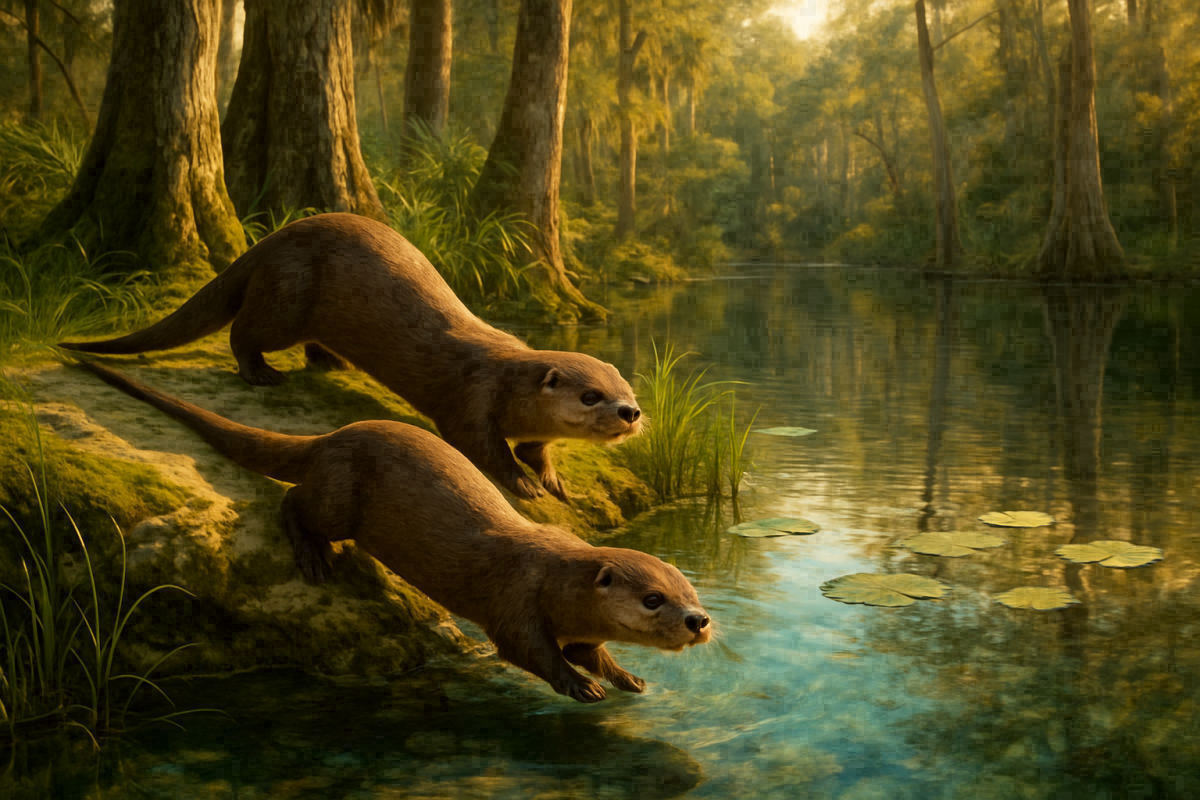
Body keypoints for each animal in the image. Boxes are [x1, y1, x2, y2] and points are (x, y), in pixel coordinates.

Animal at [60, 213, 641, 501]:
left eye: (627, 391)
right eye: (592, 396)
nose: (631, 414)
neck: (509, 379)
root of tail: (270, 241)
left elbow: (538, 448)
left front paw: (552, 479)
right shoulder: (472, 397)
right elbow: (481, 445)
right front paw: (521, 483)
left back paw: (329, 362)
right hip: (287, 296)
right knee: (244, 329)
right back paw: (259, 373)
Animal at [75, 361, 710, 702]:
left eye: (691, 592)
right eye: (654, 600)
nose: (699, 621)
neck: (555, 577)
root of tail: (332, 437)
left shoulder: (575, 623)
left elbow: (589, 650)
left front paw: (626, 676)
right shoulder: (516, 601)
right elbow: (526, 649)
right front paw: (579, 685)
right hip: (338, 495)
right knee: (293, 501)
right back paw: (313, 556)